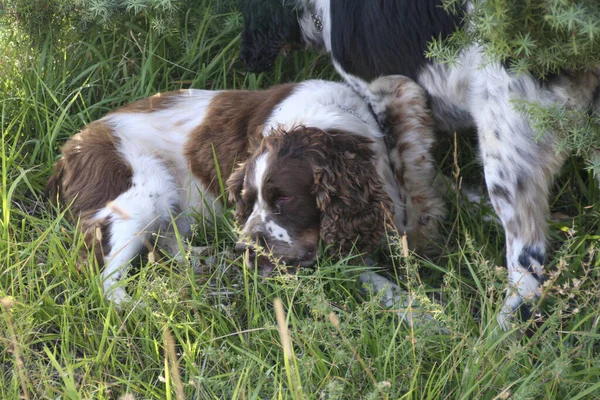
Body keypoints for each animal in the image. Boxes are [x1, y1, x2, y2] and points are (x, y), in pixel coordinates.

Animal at [47, 75, 442, 318]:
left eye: (284, 199)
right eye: (248, 200)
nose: (244, 251)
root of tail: (69, 149)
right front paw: (429, 317)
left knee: (168, 243)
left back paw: (207, 264)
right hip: (143, 190)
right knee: (104, 279)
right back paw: (153, 308)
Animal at [238, 0, 600, 328]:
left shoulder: (389, 92)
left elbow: (408, 181)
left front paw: (414, 243)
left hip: (506, 143)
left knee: (527, 261)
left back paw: (499, 335)